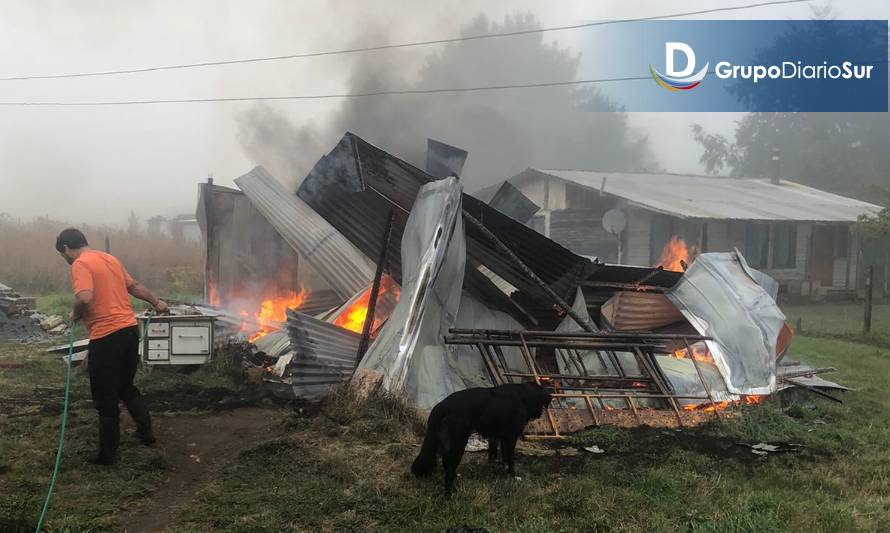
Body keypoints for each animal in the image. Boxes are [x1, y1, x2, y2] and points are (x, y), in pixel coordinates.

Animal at [410, 382, 548, 494]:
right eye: (542, 404)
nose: (540, 414)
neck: (524, 395)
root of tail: (441, 405)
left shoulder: (501, 439)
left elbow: (503, 458)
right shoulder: (511, 438)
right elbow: (510, 460)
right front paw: (513, 476)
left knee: (445, 464)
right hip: (458, 443)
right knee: (448, 471)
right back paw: (451, 494)